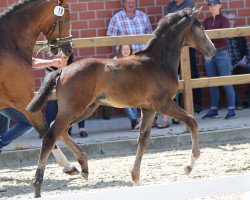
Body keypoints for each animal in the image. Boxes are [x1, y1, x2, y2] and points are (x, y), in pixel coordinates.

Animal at [26, 7, 215, 198]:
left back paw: (83, 167)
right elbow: (192, 121)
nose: (212, 49)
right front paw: (189, 166)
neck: (158, 62)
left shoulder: (148, 109)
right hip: (74, 109)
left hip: (86, 108)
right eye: (201, 28)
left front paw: (136, 179)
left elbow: (143, 140)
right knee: (50, 136)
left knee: (59, 130)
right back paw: (38, 187)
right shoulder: (163, 104)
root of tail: (62, 71)